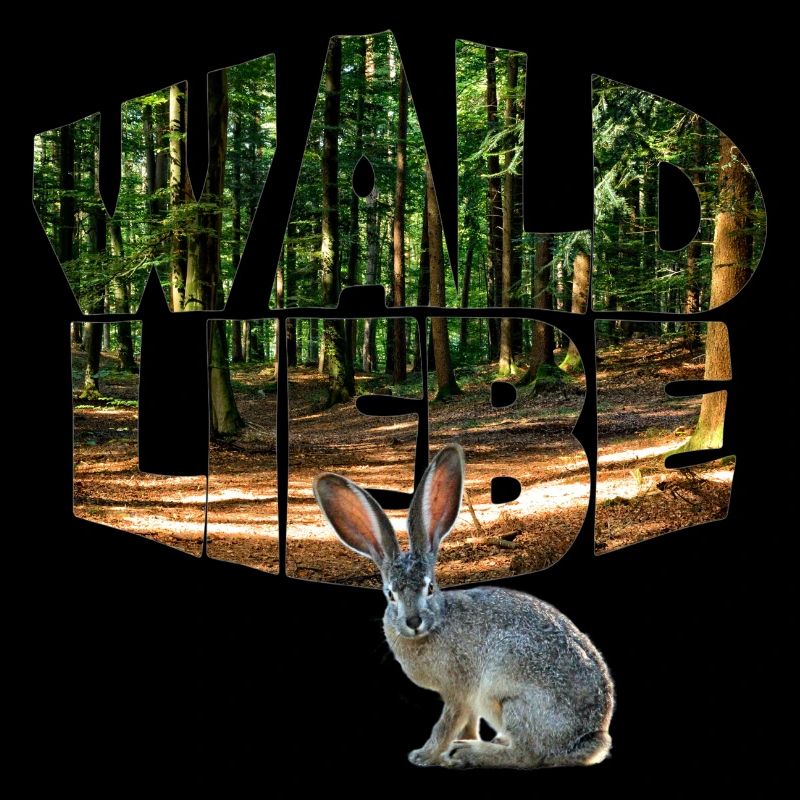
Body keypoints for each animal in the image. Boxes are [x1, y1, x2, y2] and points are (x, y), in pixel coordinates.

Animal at [312, 443, 615, 769]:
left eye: (430, 587)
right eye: (390, 595)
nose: (413, 621)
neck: (437, 623)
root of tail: (590, 738)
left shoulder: (458, 690)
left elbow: (446, 724)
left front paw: (425, 755)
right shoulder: (466, 699)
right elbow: (467, 722)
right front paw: (454, 747)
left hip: (513, 701)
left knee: (529, 754)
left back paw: (470, 753)